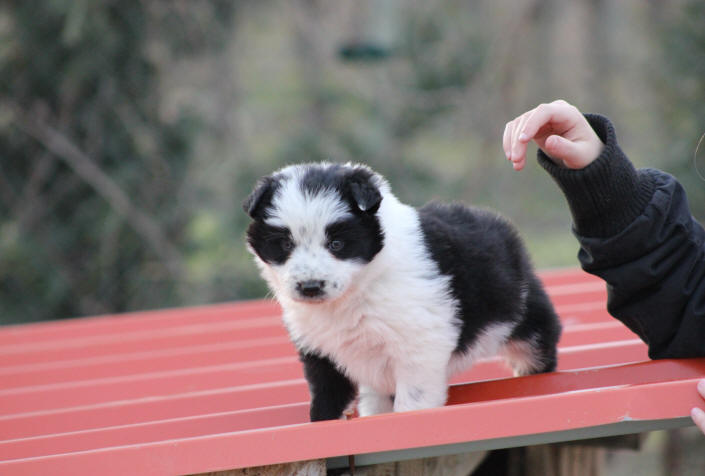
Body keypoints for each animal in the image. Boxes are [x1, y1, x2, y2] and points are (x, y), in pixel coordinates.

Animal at [243, 163, 560, 420]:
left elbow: (412, 401)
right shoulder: (322, 350)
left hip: (523, 311)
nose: (310, 287)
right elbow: (327, 398)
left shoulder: (417, 345)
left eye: (336, 244)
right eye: (285, 244)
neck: (361, 287)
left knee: (537, 340)